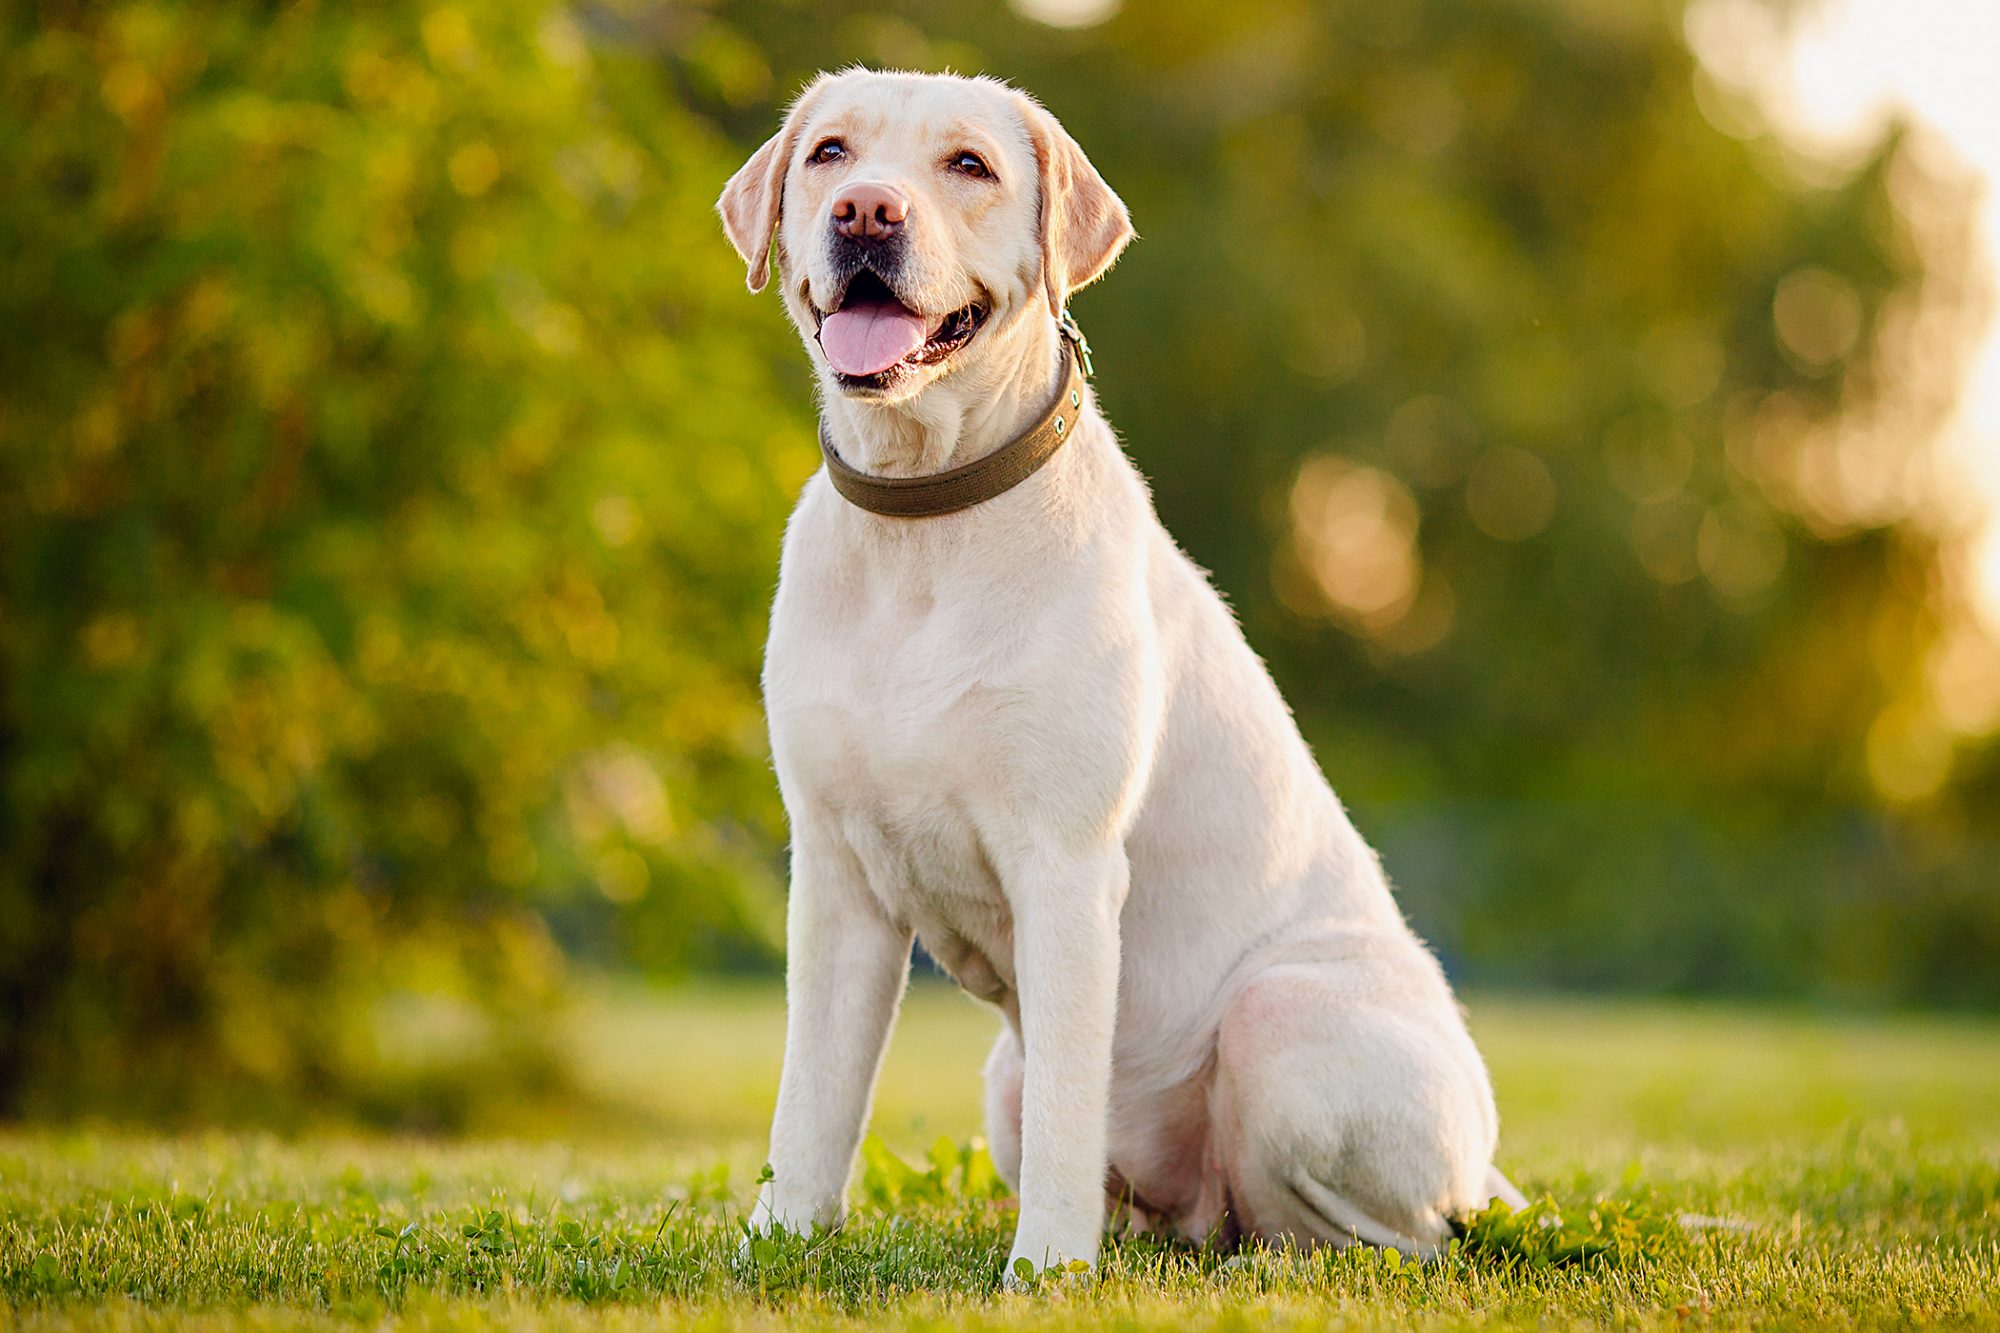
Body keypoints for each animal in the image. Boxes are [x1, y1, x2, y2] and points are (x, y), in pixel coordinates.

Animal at [720, 67, 1512, 1272]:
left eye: (968, 165)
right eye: (829, 154)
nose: (865, 212)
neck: (922, 521)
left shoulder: (1065, 865)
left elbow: (1066, 1100)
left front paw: (1046, 1267)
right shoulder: (837, 874)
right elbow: (812, 1093)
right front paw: (782, 1239)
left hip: (1281, 1022)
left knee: (1383, 1232)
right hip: (1004, 1079)